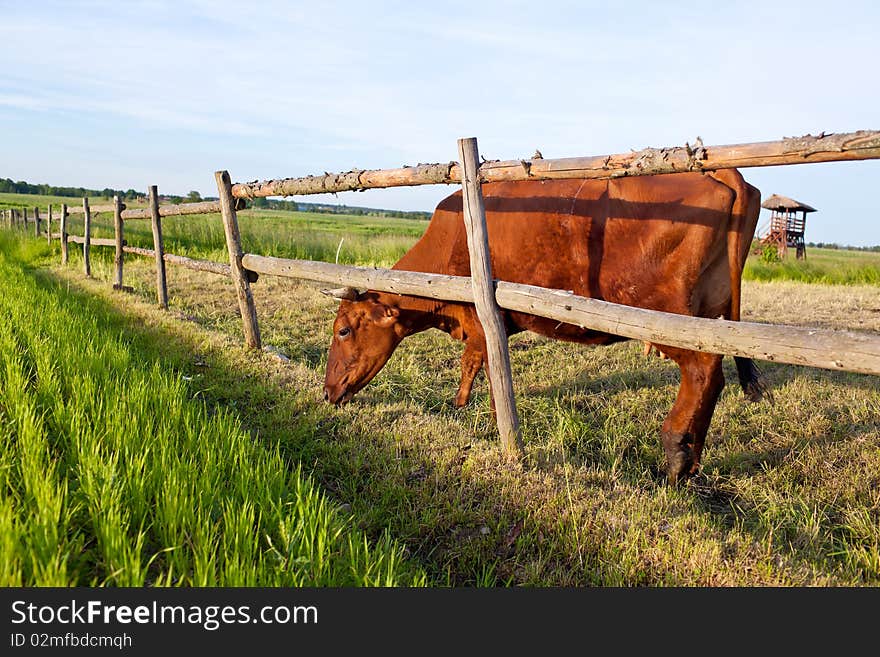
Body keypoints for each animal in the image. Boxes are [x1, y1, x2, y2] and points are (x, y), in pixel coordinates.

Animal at [326, 170, 768, 482]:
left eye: (343, 330)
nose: (328, 391)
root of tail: (725, 173)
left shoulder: (482, 318)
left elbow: (487, 370)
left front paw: (491, 421)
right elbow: (472, 363)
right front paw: (460, 403)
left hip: (670, 320)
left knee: (702, 371)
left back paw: (675, 455)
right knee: (713, 377)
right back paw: (690, 460)